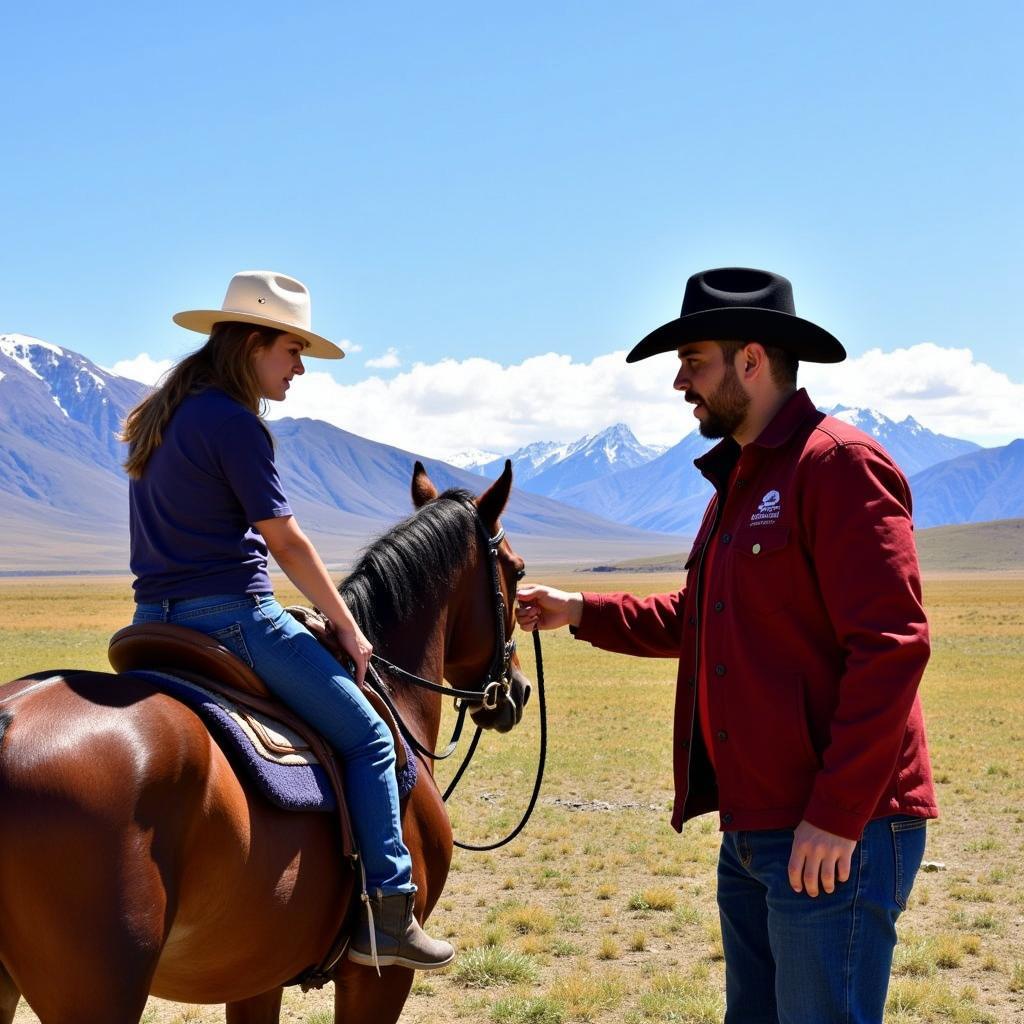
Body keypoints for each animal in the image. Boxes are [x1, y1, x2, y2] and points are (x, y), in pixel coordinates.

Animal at [0, 464, 528, 1024]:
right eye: (516, 572)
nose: (518, 689)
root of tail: (9, 722)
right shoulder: (378, 978)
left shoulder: (257, 972)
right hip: (101, 990)